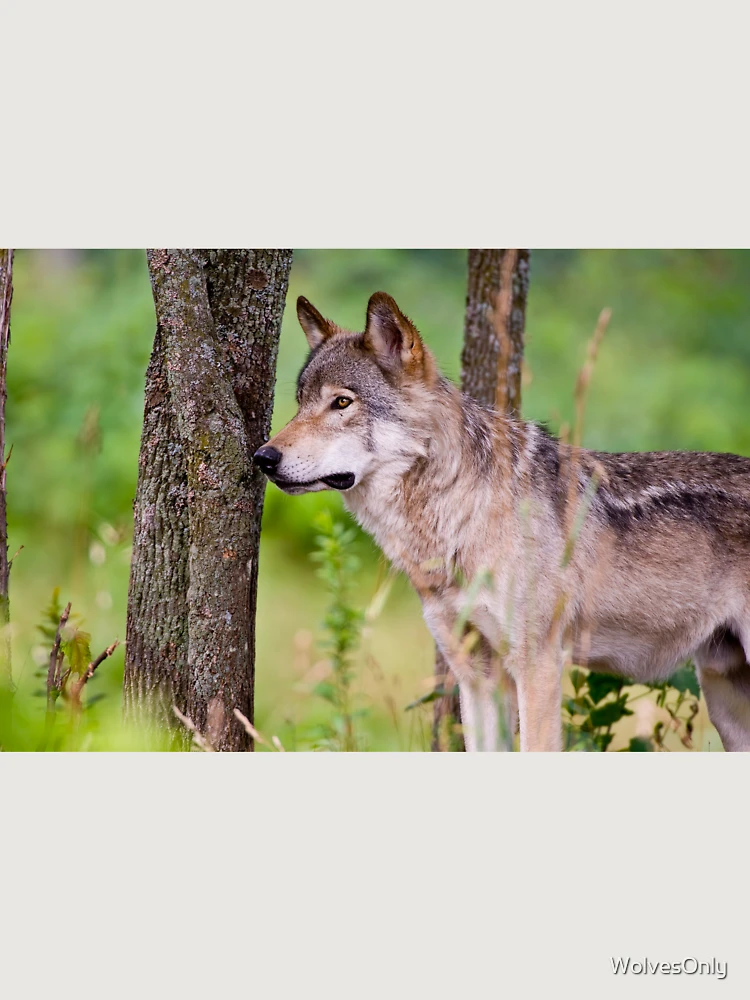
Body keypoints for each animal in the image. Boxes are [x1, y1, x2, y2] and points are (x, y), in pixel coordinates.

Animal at [254, 292, 750, 752]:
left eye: (342, 402)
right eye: (299, 403)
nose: (263, 458)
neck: (460, 516)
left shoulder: (538, 668)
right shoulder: (477, 677)